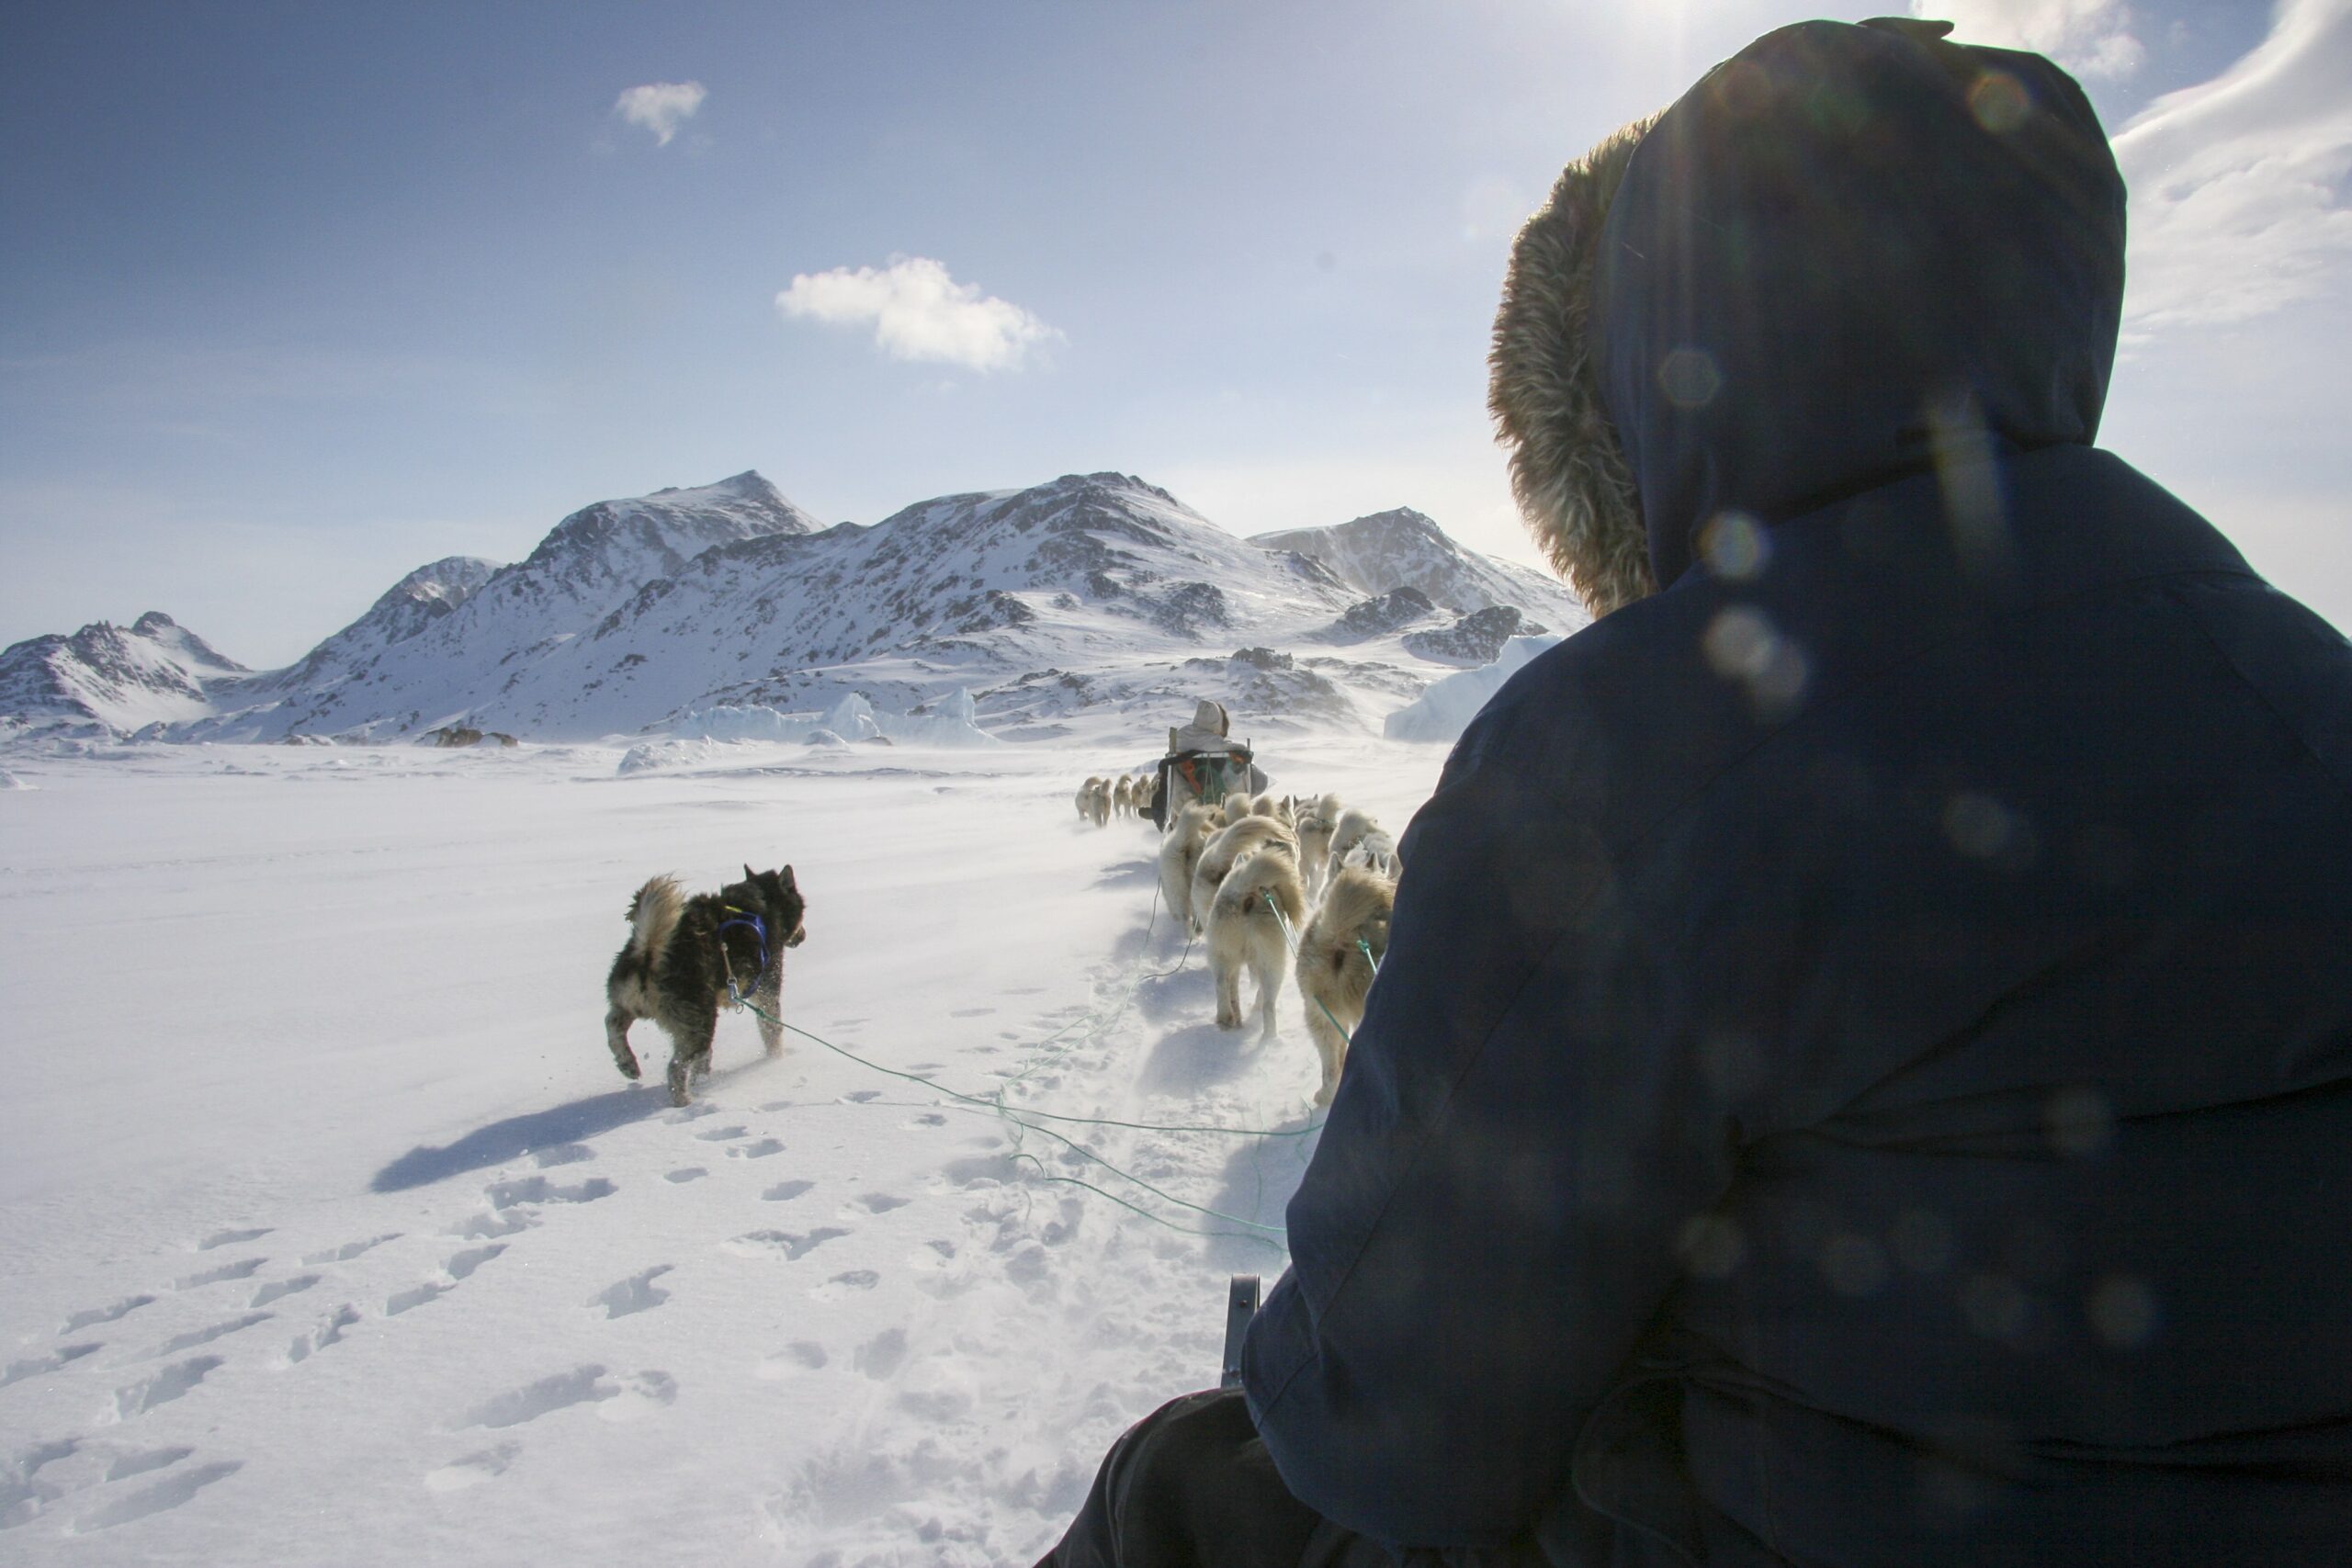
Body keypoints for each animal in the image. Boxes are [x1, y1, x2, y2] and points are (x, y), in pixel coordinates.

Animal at [606, 864, 808, 1109]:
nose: (803, 935)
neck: (764, 904)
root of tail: (650, 954)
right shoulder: (767, 992)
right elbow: (772, 1032)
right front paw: (776, 1061)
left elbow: (704, 1062)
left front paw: (702, 1079)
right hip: (699, 1024)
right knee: (676, 1067)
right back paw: (684, 1101)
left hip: (630, 1004)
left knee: (612, 1024)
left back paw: (627, 1063)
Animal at [1213, 841, 1307, 1048]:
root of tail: (1245, 892)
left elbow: (1233, 992)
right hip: (1274, 965)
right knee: (1268, 1005)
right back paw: (1270, 1038)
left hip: (1222, 955)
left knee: (1221, 985)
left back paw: (1226, 1019)